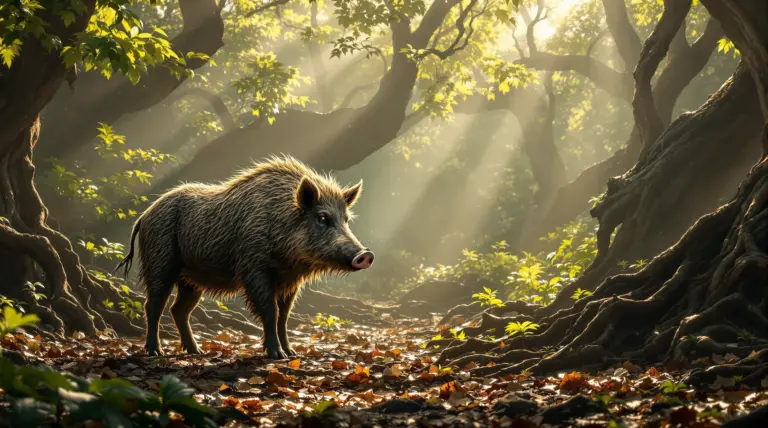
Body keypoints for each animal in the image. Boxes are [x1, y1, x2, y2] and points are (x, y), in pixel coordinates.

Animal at [116, 156, 374, 358]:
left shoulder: (289, 281)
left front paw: (291, 353)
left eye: (346, 219)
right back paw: (155, 351)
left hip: (191, 280)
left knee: (179, 310)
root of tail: (144, 215)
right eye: (322, 217)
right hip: (159, 262)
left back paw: (196, 351)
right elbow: (270, 312)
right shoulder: (254, 269)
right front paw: (277, 355)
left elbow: (284, 317)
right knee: (153, 305)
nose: (366, 254)